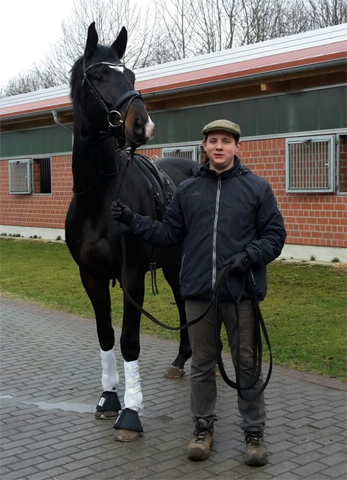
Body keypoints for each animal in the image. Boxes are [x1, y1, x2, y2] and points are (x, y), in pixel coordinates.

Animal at [65, 23, 198, 442]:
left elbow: (129, 340)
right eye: (98, 76)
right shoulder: (89, 276)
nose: (142, 125)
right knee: (182, 303)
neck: (99, 197)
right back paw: (181, 359)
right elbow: (106, 335)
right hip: (171, 265)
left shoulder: (132, 274)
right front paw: (109, 398)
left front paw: (131, 413)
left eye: (132, 75)